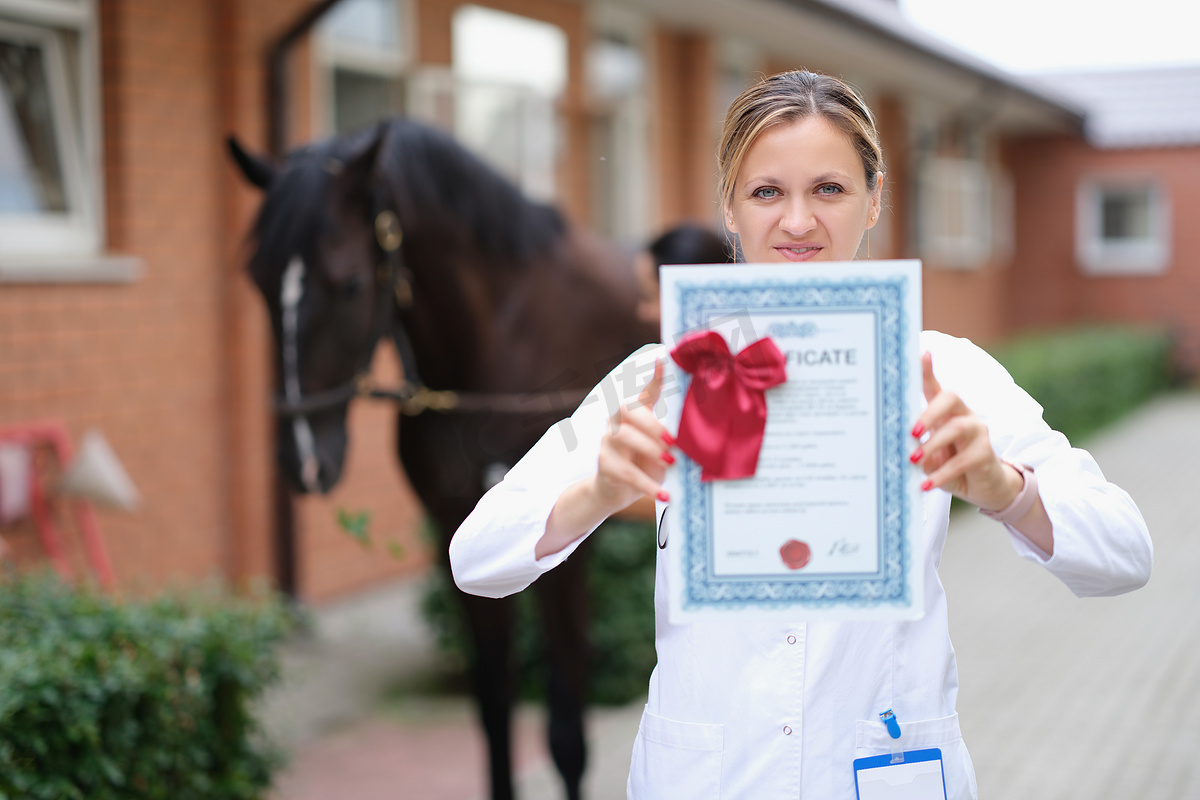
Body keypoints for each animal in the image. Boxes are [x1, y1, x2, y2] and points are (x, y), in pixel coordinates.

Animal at [225, 117, 657, 800]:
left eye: (350, 284)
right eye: (259, 280)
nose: (304, 460)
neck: (497, 339)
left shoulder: (567, 553)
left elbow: (566, 730)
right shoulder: (460, 530)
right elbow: (493, 705)